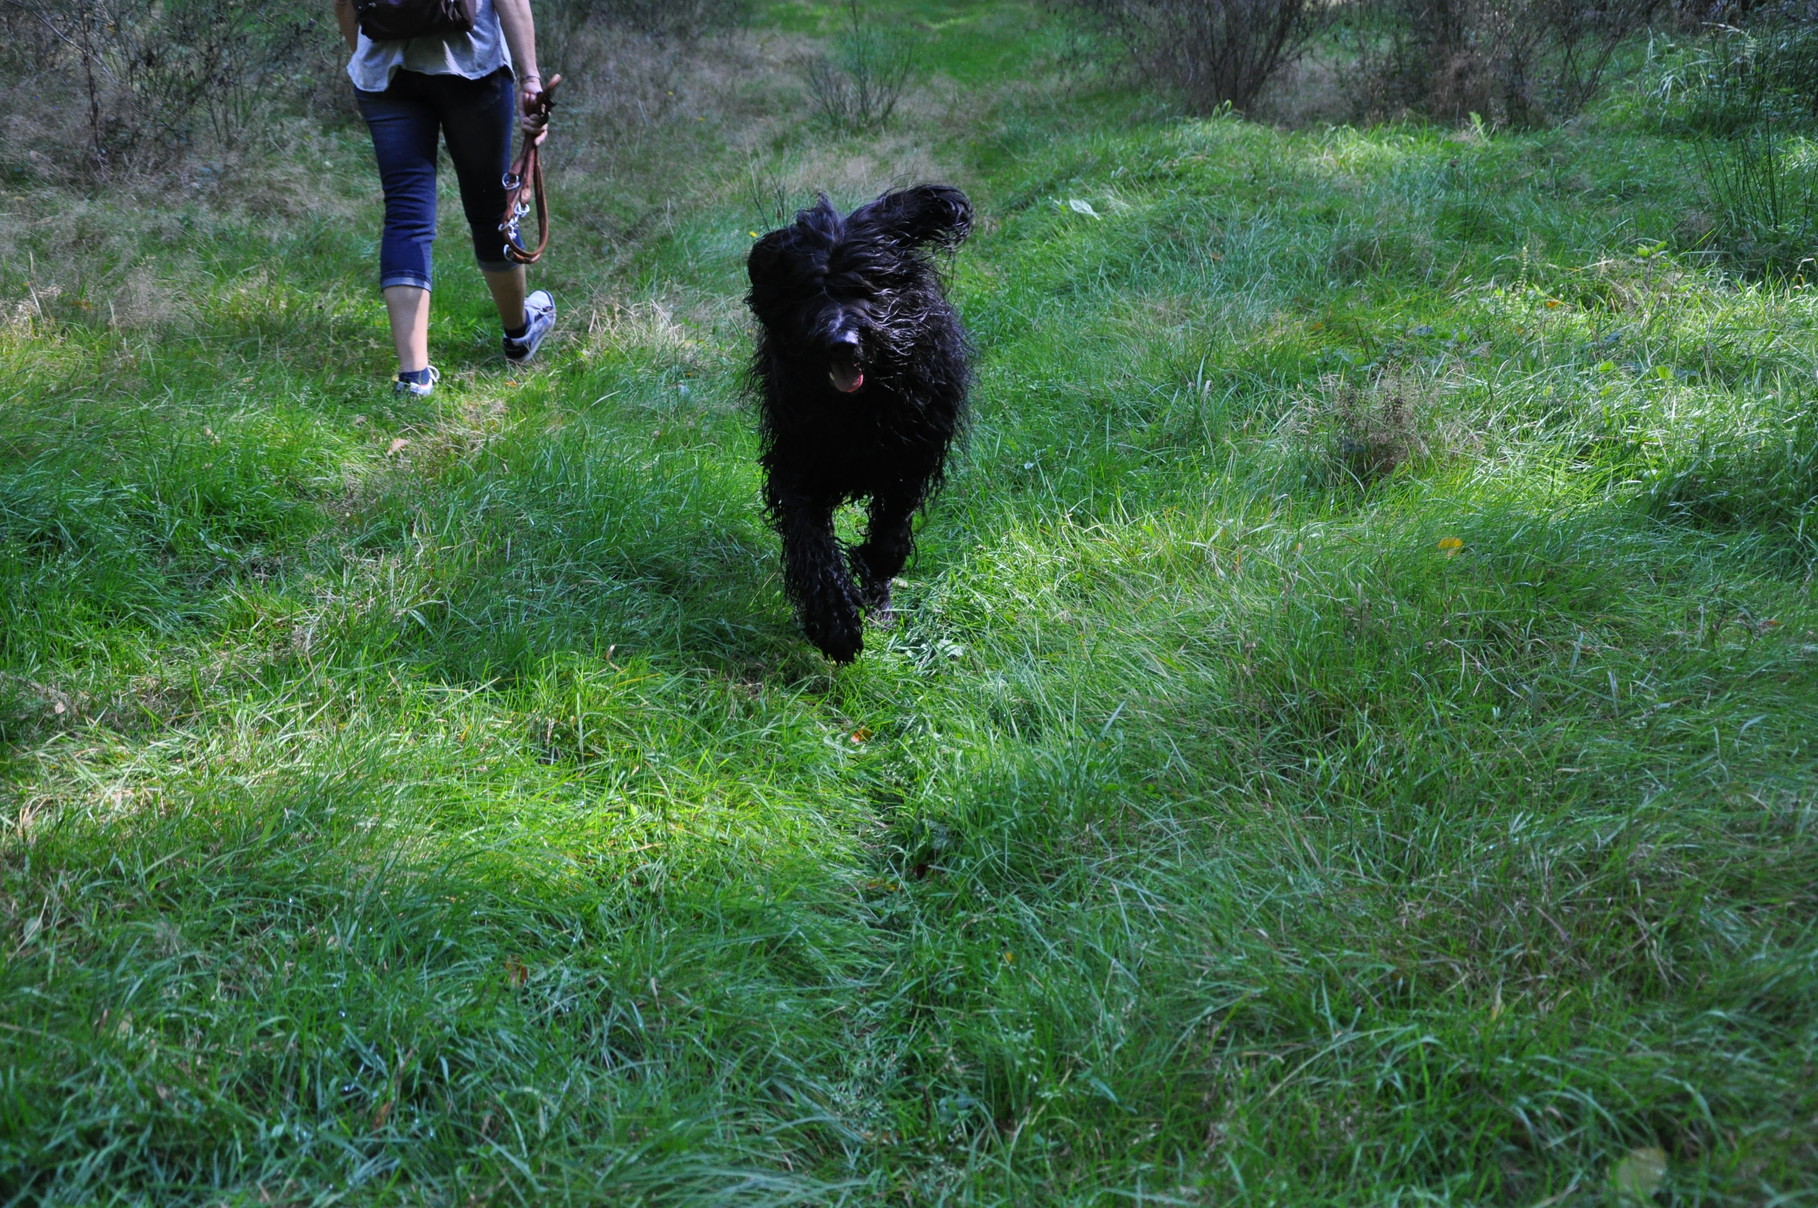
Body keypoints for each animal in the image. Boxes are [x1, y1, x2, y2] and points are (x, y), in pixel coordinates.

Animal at [749, 183, 974, 665]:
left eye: (863, 286)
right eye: (810, 291)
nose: (841, 343)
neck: (856, 407)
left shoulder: (911, 457)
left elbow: (888, 536)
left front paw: (873, 591)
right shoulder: (797, 462)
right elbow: (809, 540)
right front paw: (834, 623)